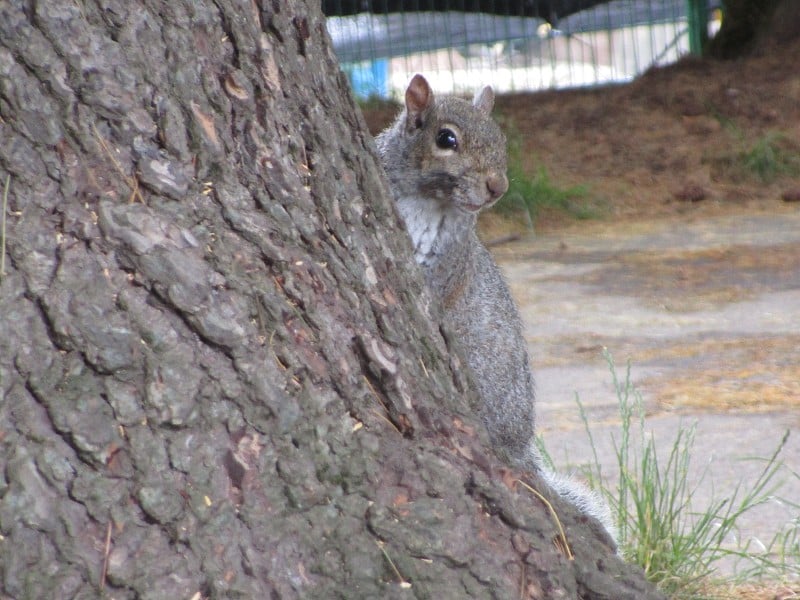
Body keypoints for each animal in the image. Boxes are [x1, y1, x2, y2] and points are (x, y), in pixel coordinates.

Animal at [378, 74, 616, 544]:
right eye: (446, 139)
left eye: (500, 138)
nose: (498, 187)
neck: (427, 200)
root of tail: (518, 447)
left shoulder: (446, 261)